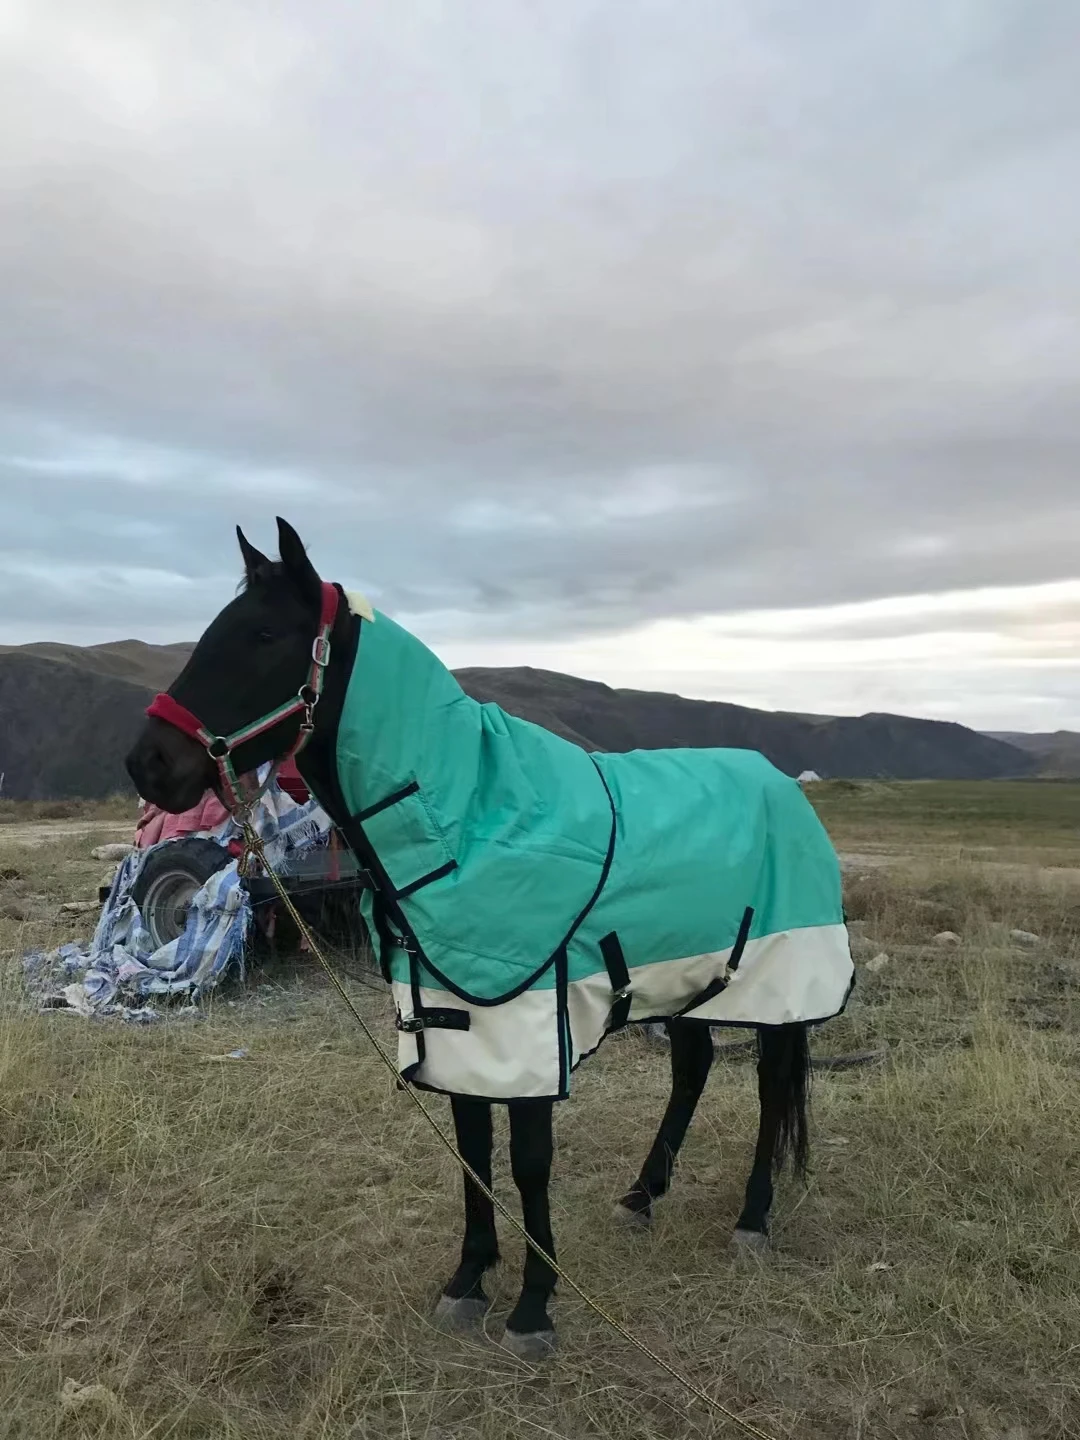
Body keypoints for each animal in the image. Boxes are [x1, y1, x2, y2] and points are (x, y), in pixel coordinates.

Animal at [126, 517, 853, 1359]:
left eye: (263, 634)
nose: (148, 764)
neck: (467, 818)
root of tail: (782, 786)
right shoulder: (455, 1021)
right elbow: (473, 1153)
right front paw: (469, 1281)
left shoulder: (530, 1017)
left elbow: (528, 1162)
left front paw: (534, 1307)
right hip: (687, 975)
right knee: (694, 1066)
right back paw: (642, 1195)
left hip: (775, 988)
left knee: (770, 1086)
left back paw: (752, 1218)